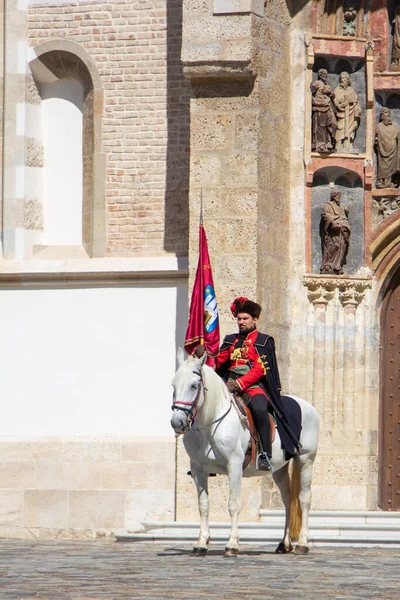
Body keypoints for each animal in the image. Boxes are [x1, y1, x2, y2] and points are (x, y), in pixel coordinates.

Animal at [170, 352, 320, 556]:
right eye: (173, 385)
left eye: (194, 385)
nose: (177, 422)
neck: (210, 425)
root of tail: (306, 405)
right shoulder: (198, 469)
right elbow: (203, 505)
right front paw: (201, 543)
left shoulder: (234, 466)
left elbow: (233, 504)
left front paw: (232, 544)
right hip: (279, 469)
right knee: (288, 500)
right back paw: (284, 543)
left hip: (305, 460)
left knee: (304, 499)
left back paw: (302, 544)